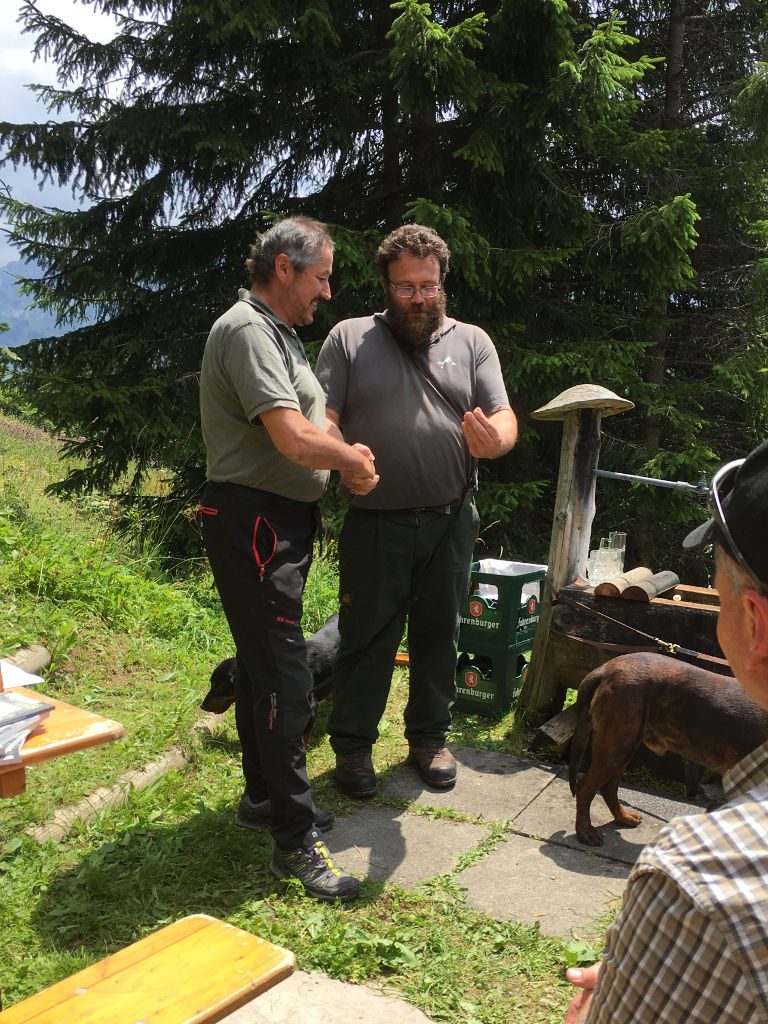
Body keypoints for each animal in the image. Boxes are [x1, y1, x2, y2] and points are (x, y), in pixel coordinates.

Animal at [569, 651, 768, 843]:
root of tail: (604, 670)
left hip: (624, 746)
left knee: (608, 787)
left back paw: (622, 817)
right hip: (616, 746)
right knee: (585, 788)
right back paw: (586, 832)